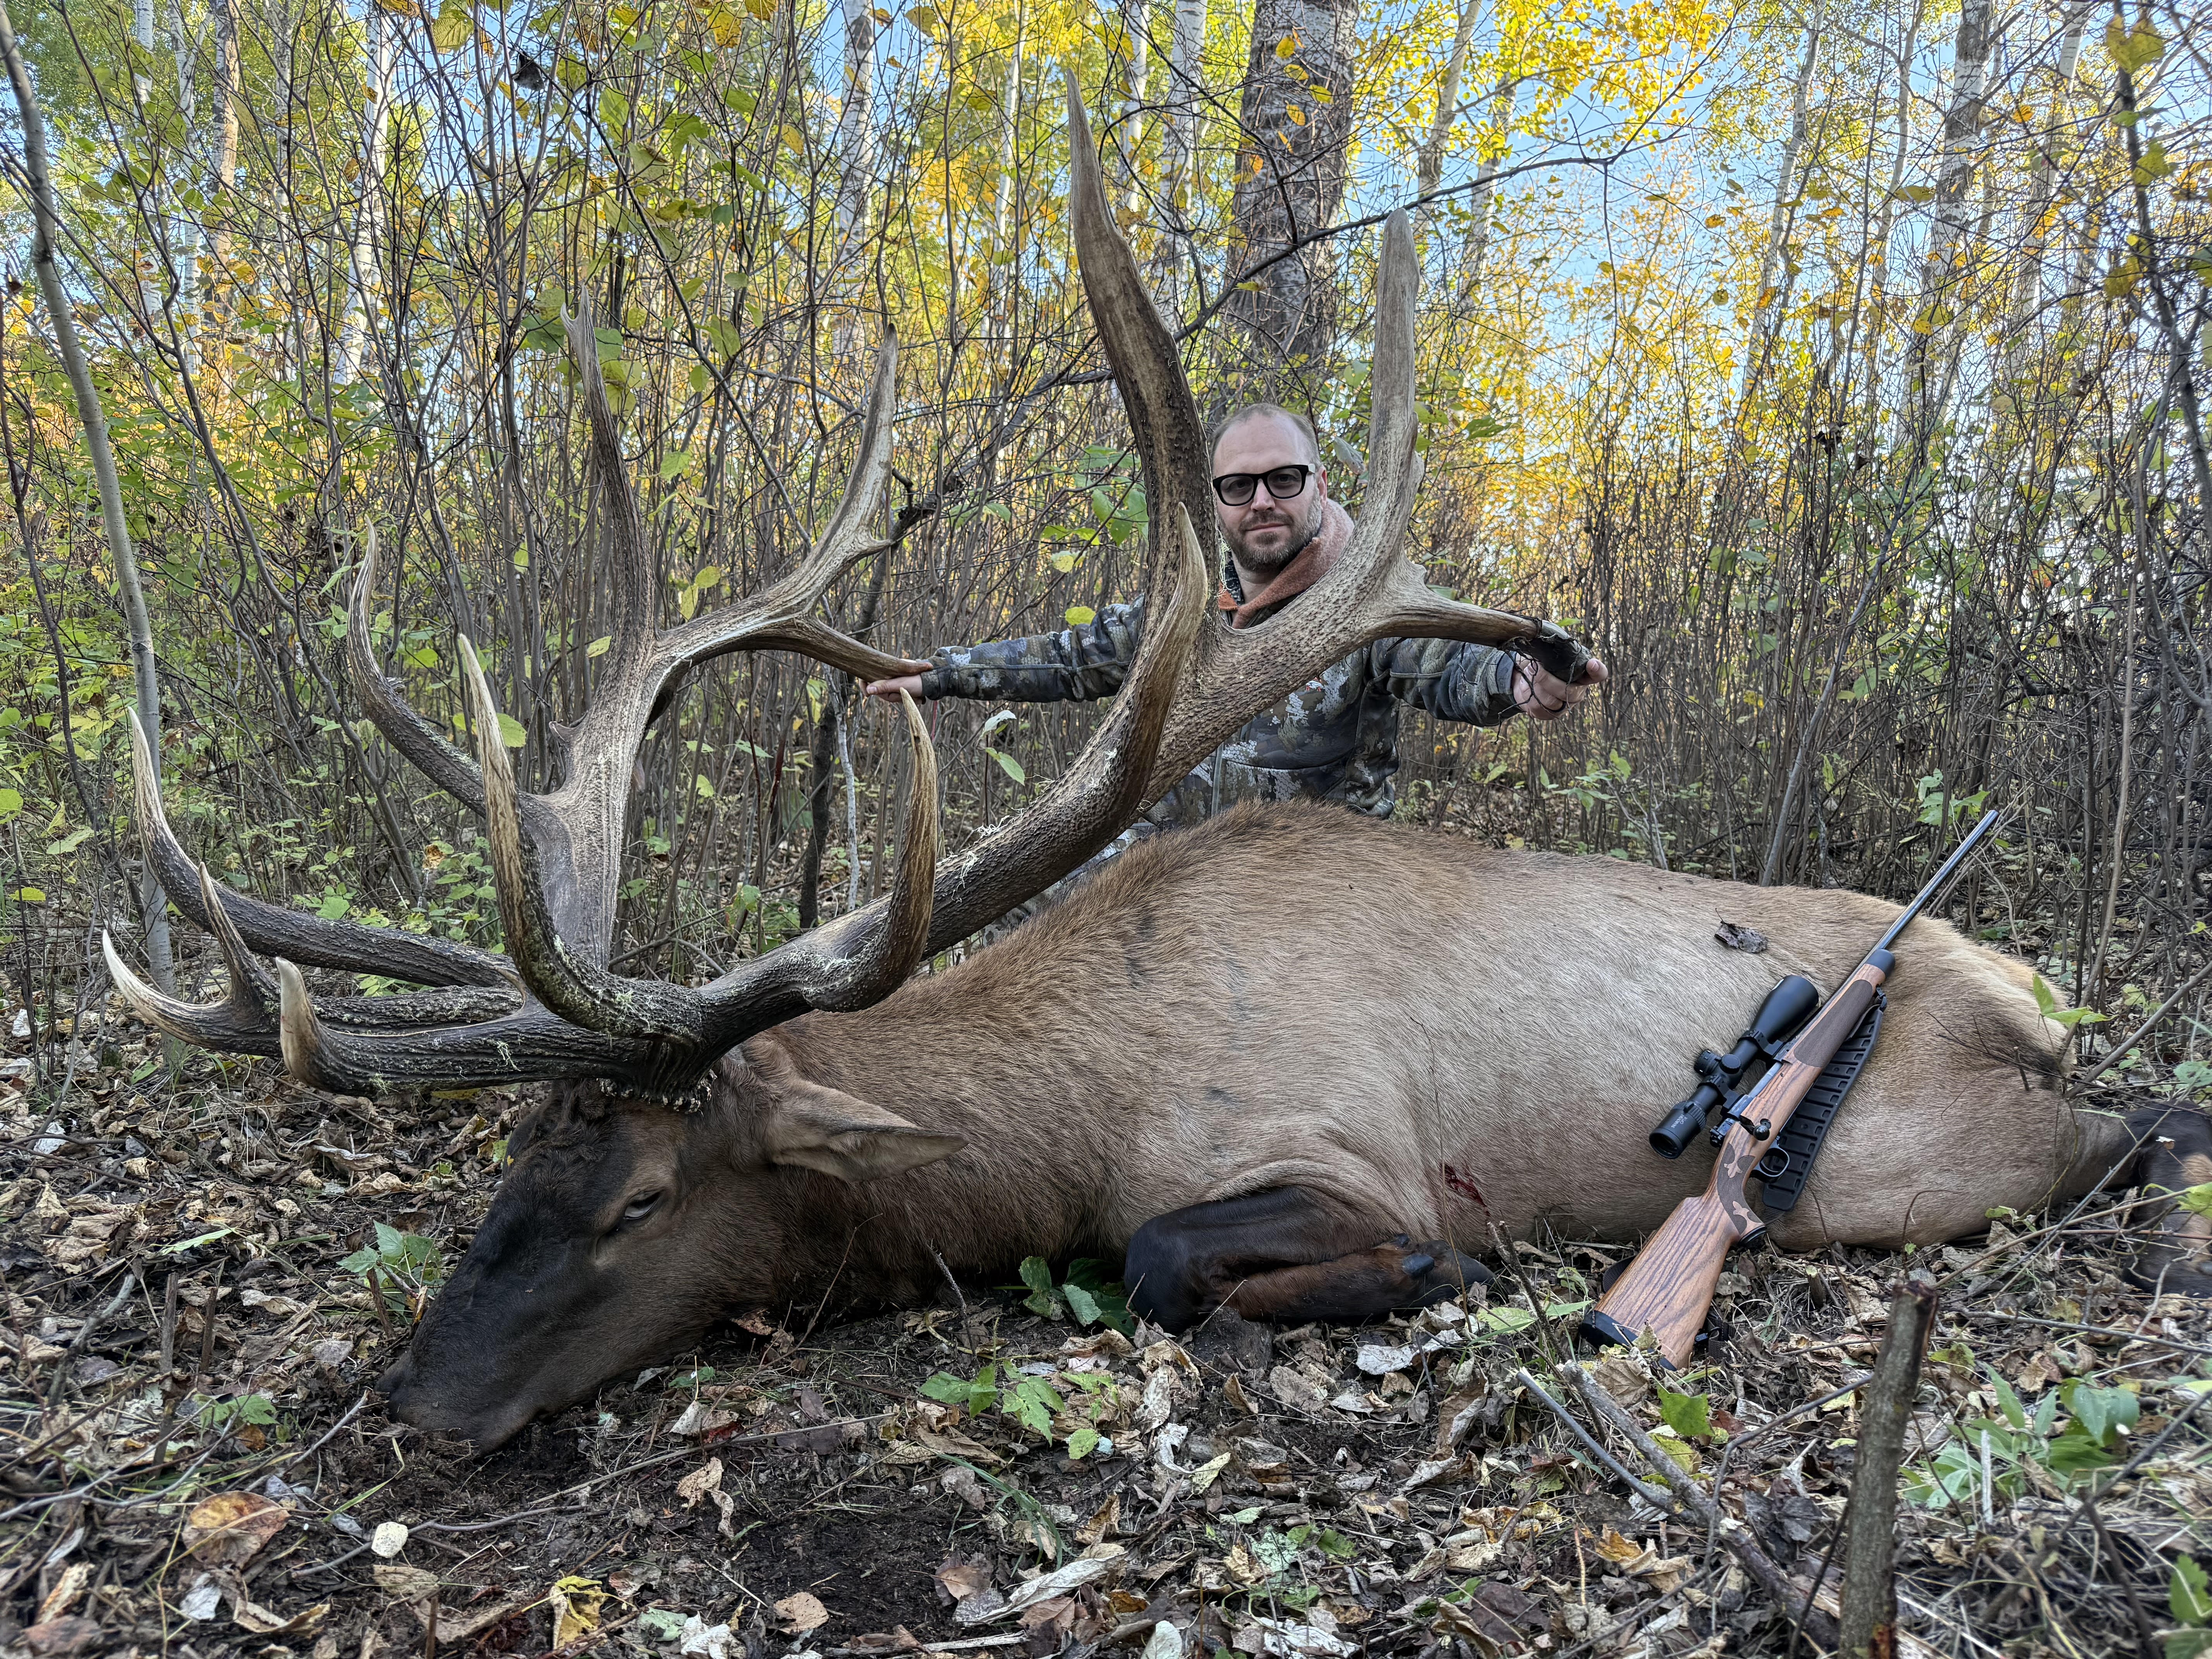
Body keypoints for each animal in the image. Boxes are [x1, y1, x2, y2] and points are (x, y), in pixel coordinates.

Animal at [107, 82, 2211, 1448]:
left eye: (635, 1200)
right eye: (507, 1170)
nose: (420, 1399)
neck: (1070, 1110)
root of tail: (2019, 987)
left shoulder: (1336, 1145)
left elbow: (1165, 1256)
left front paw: (1414, 1287)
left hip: (1921, 1158)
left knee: (2126, 1128)